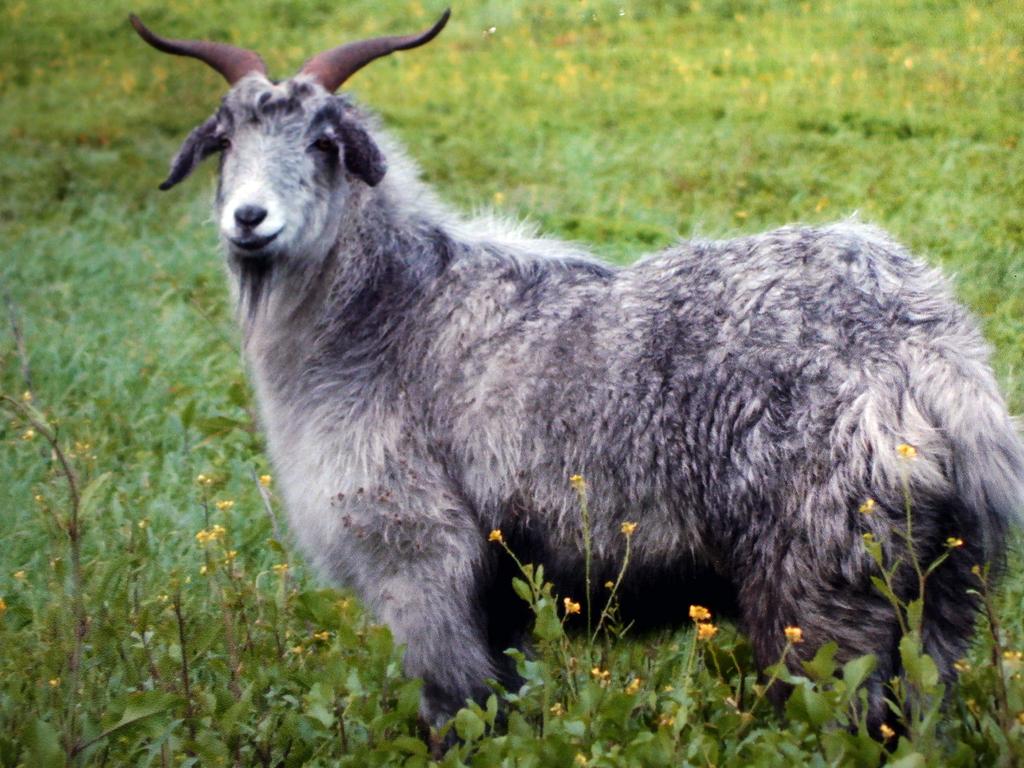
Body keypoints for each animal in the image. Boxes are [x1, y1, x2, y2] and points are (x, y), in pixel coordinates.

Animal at [134, 7, 1024, 741]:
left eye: (324, 143)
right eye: (224, 141)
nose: (250, 219)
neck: (390, 312)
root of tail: (922, 350)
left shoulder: (420, 566)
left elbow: (458, 718)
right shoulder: (497, 602)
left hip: (824, 591)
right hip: (940, 592)